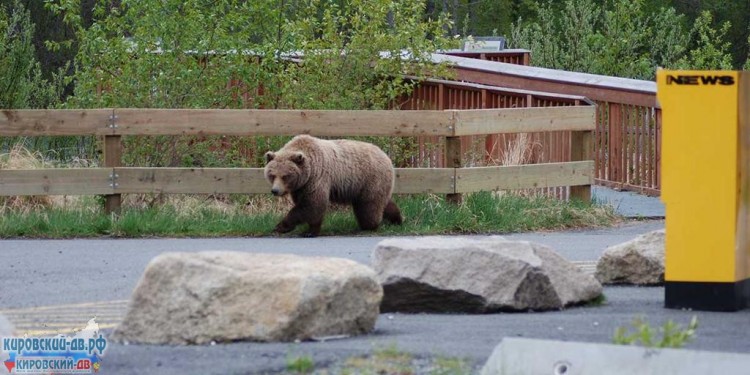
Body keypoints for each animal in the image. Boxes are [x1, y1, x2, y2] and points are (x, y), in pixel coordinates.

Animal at [266, 134, 406, 236]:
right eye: (272, 175)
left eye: (285, 176)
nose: (275, 190)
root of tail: (386, 157)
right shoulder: (301, 187)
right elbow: (309, 206)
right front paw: (310, 229)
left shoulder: (317, 178)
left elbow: (312, 205)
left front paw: (283, 227)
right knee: (384, 202)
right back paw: (397, 219)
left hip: (370, 179)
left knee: (369, 206)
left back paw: (368, 226)